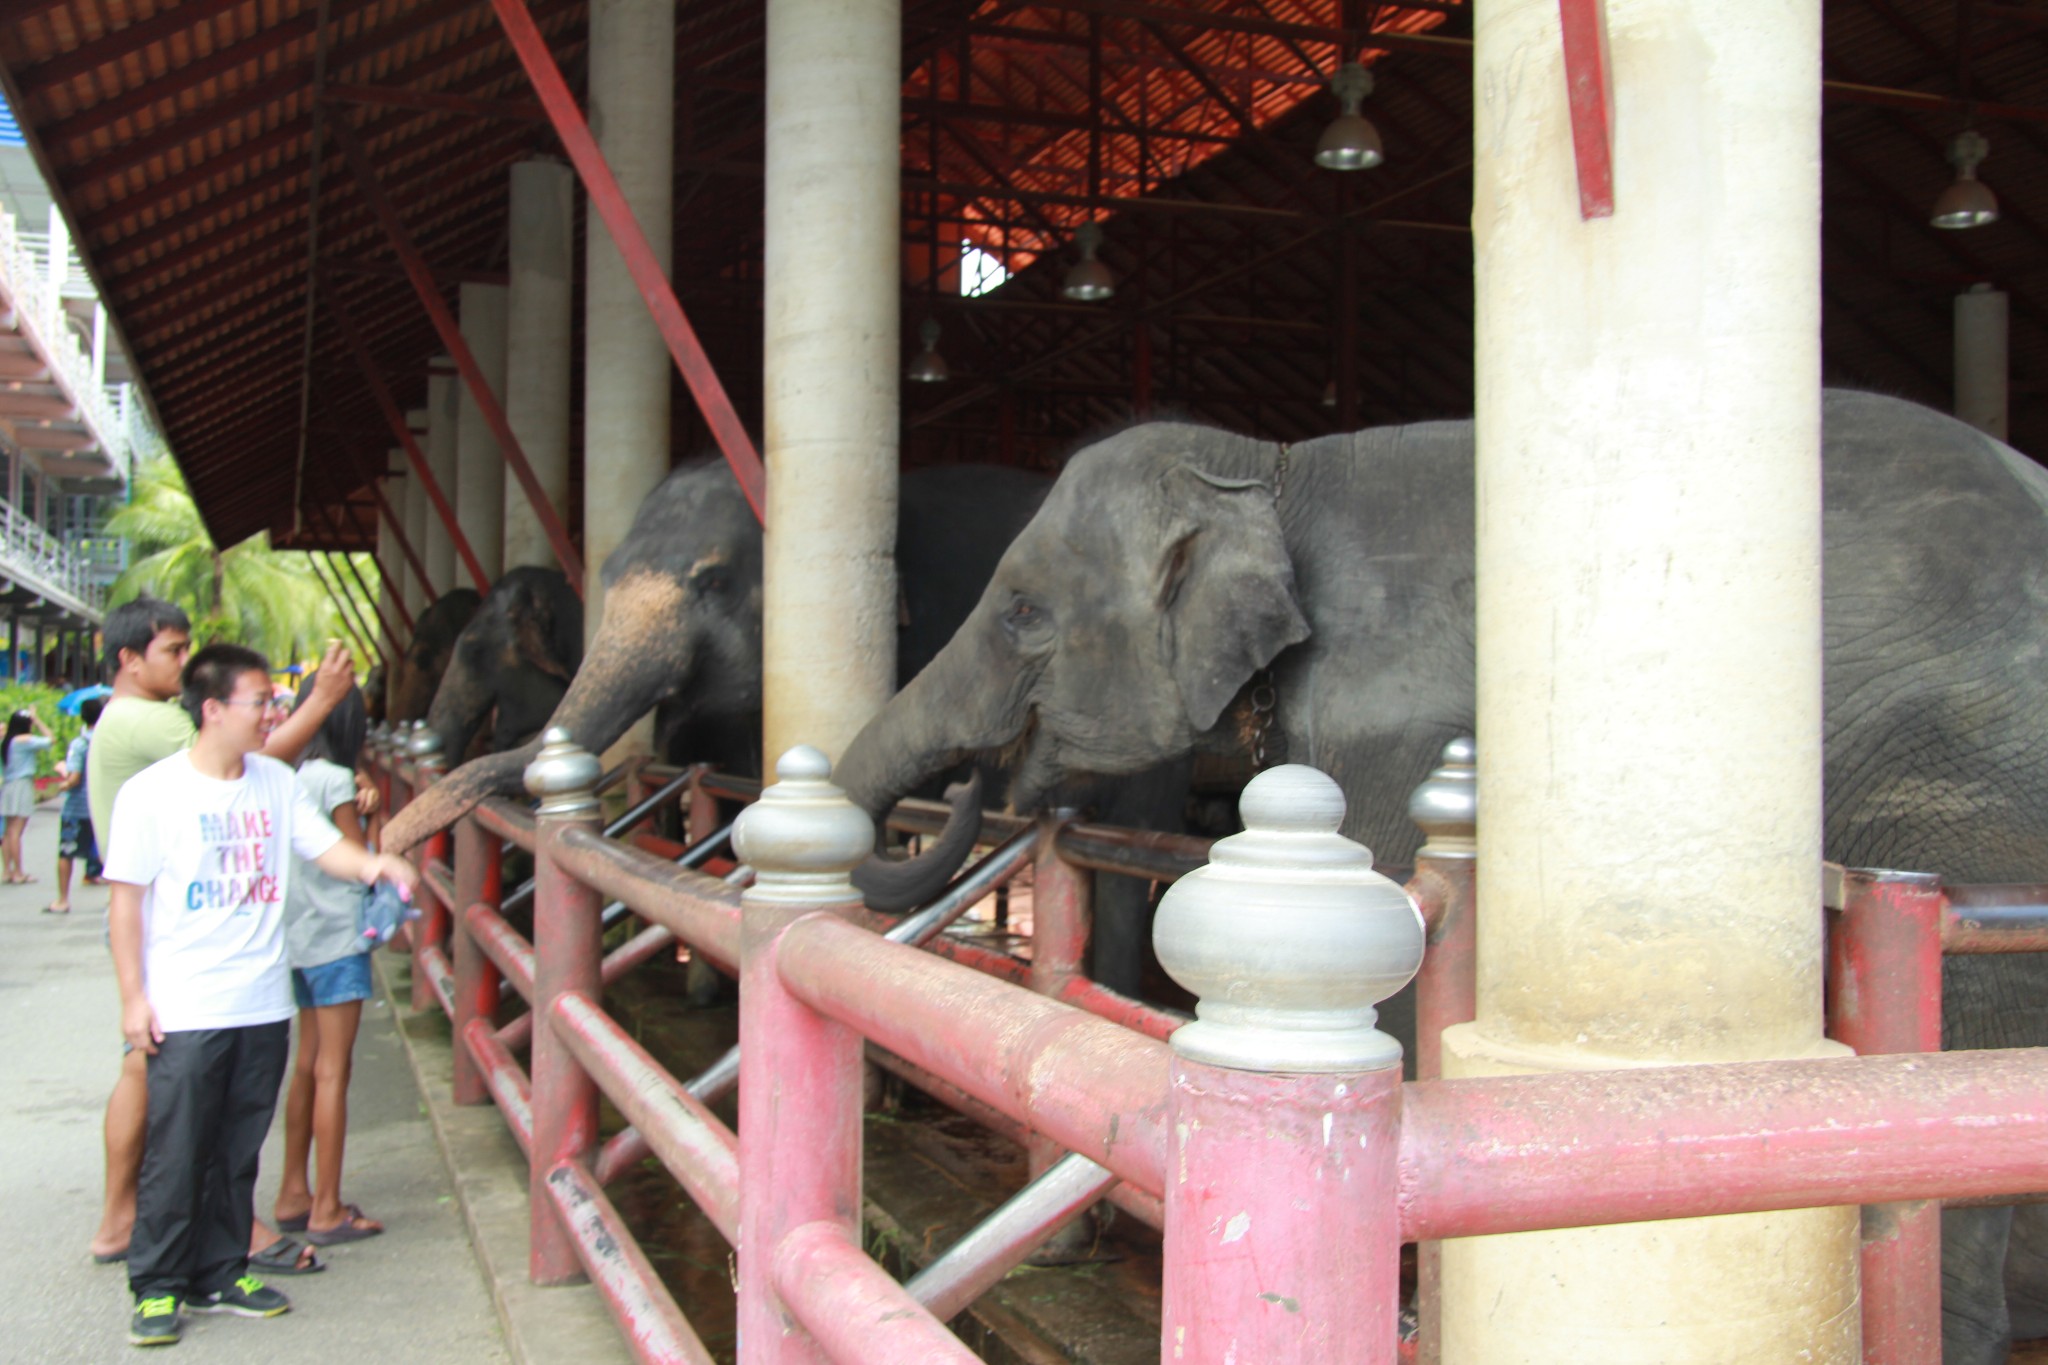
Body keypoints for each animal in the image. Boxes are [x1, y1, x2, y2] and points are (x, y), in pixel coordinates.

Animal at [827, 388, 2048, 1358]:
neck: (1274, 464)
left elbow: (1403, 1002)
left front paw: (1413, 1310)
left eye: (1023, 613)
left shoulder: (1382, 731)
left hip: (1966, 794)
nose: (992, 782)